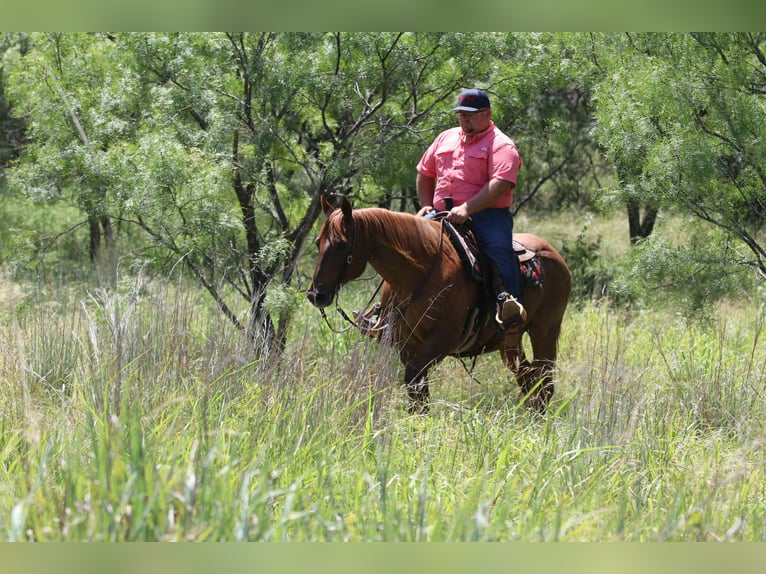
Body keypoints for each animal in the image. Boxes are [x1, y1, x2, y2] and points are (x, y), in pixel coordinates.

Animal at [306, 196, 571, 414]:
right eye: (318, 242)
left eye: (341, 244)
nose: (315, 295)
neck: (417, 273)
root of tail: (554, 254)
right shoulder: (405, 342)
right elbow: (418, 391)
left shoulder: (443, 340)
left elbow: (415, 381)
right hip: (510, 342)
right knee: (528, 380)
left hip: (545, 332)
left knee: (545, 383)